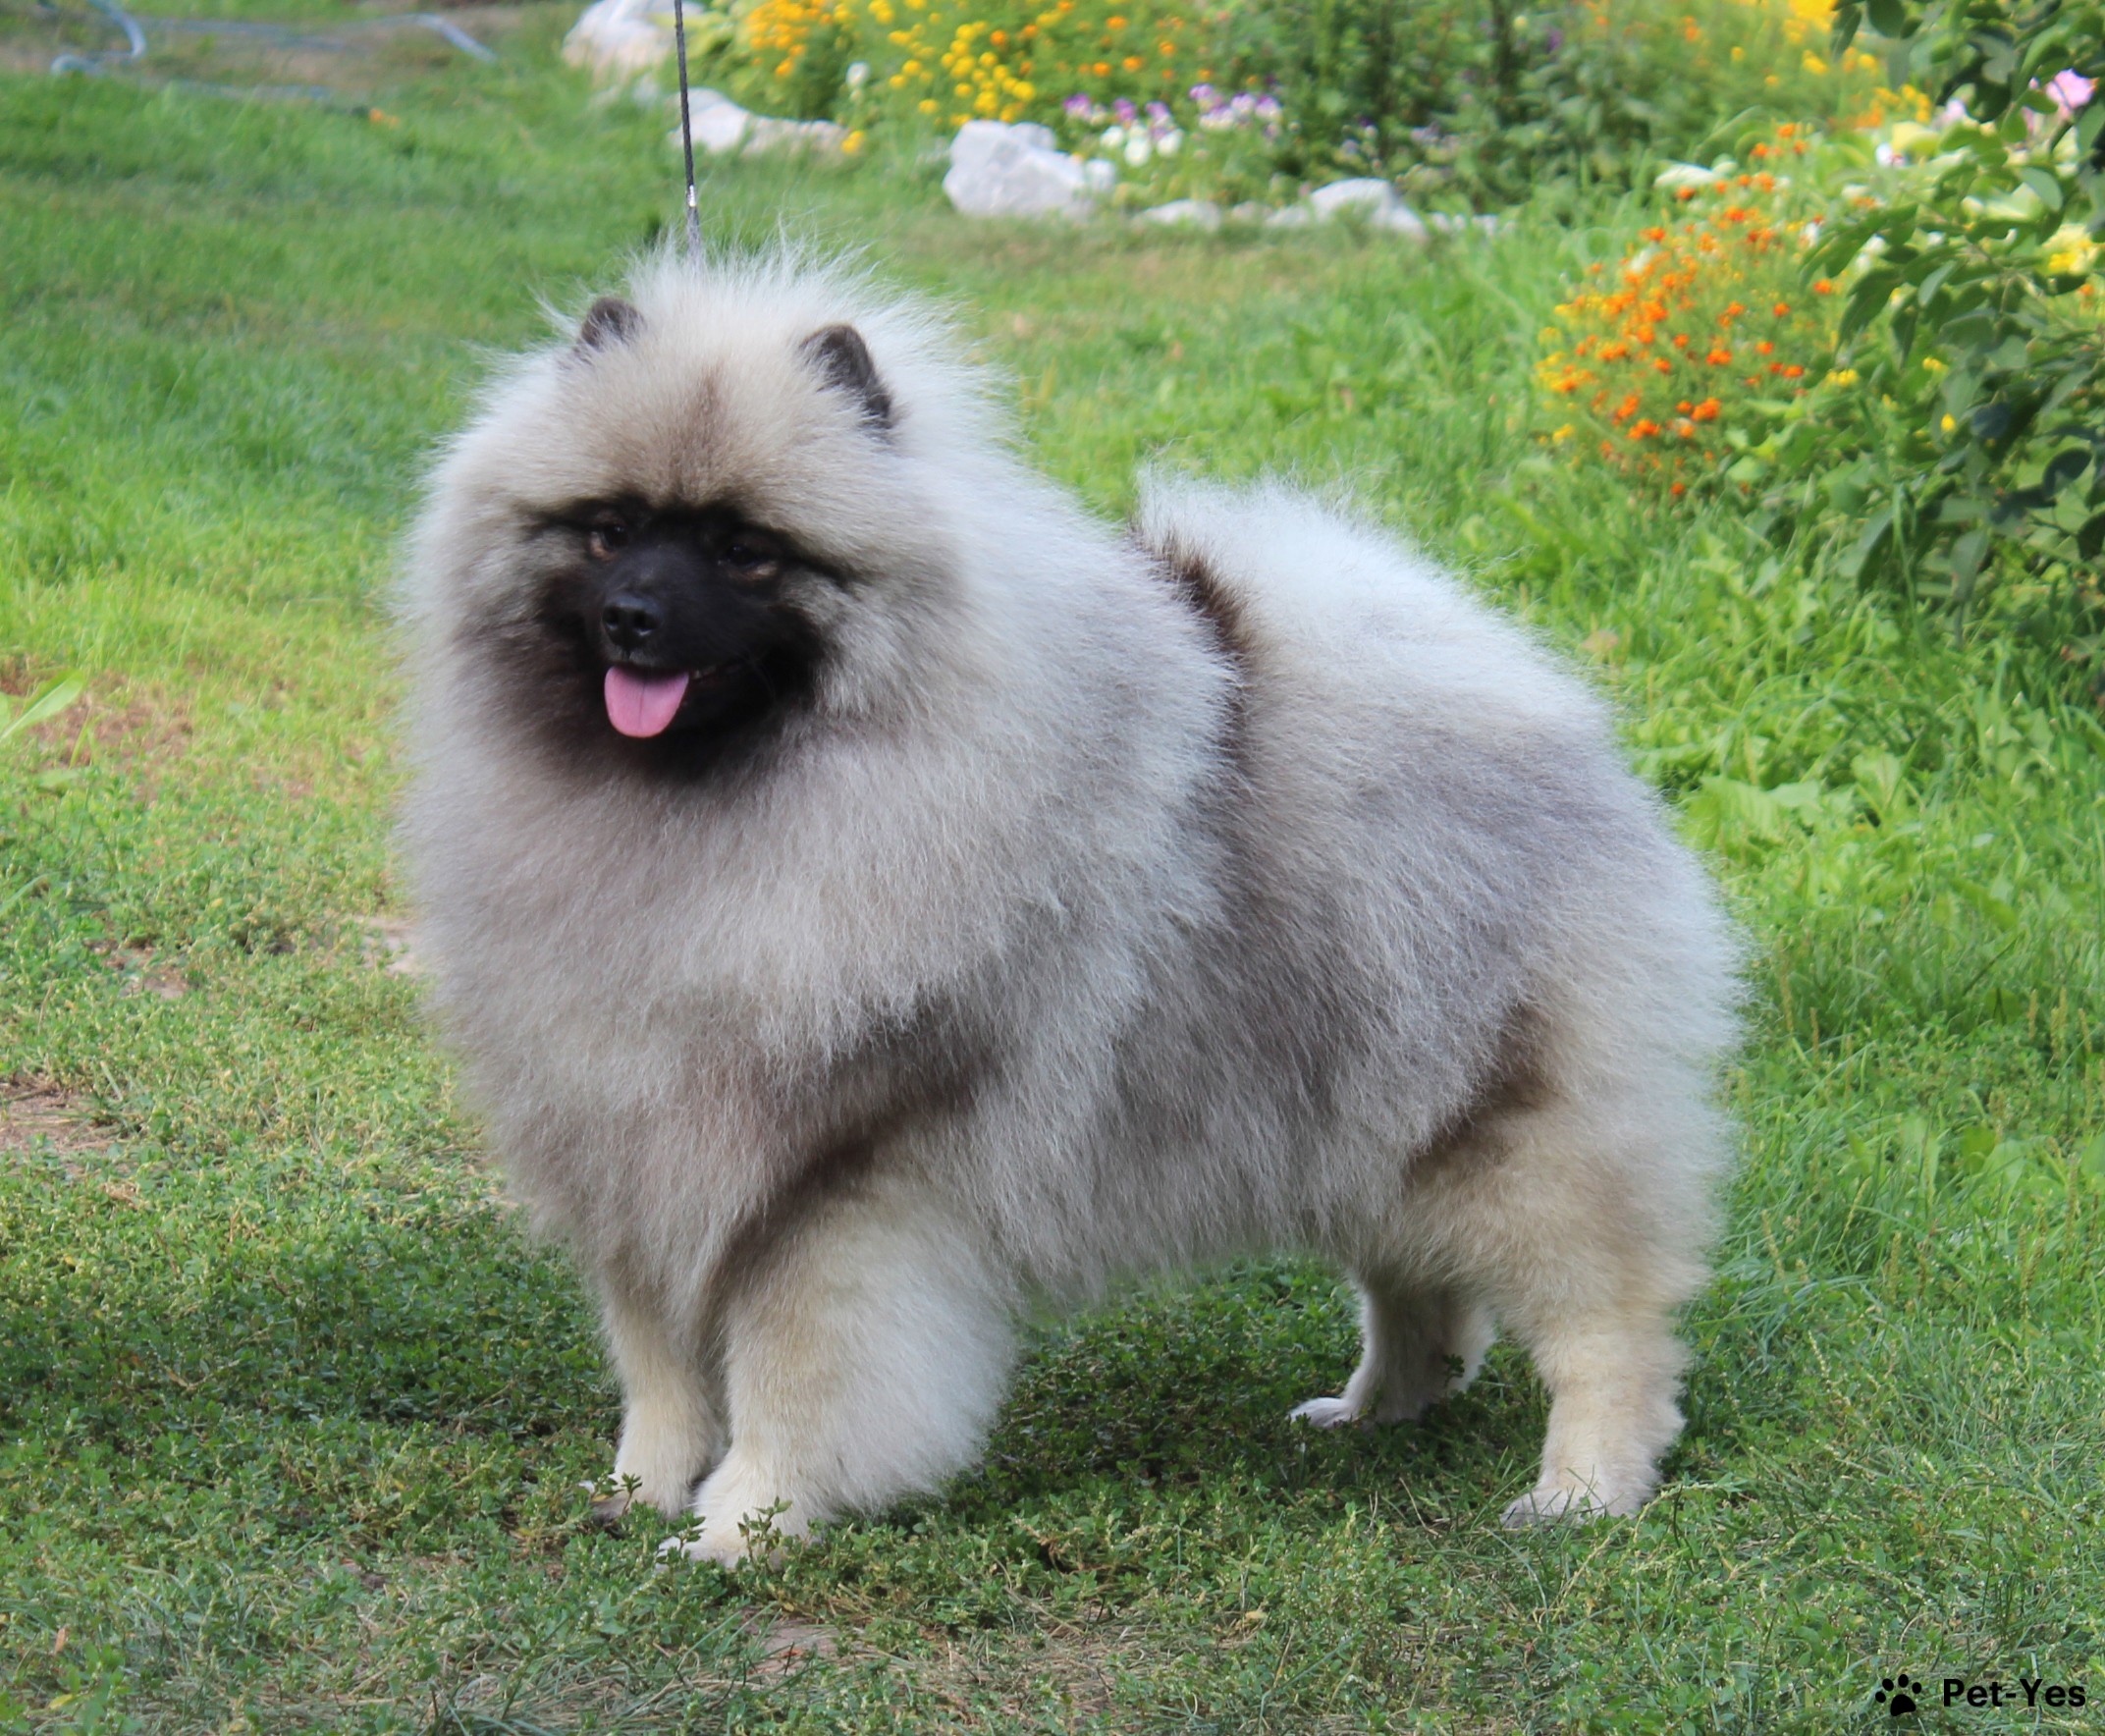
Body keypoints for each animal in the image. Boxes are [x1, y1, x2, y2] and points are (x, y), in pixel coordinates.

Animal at [402, 250, 1734, 1565]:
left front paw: (748, 1524)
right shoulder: (632, 1146)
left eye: (744, 550)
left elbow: (793, 1376)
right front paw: (640, 1490)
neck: (705, 814)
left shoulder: (828, 1183)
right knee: (1417, 1288)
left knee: (1606, 1320)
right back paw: (1372, 1411)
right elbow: (660, 1359)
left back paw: (1581, 1489)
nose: (633, 616)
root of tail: (1521, 697)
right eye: (609, 530)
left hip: (1506, 1131)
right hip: (1358, 1099)